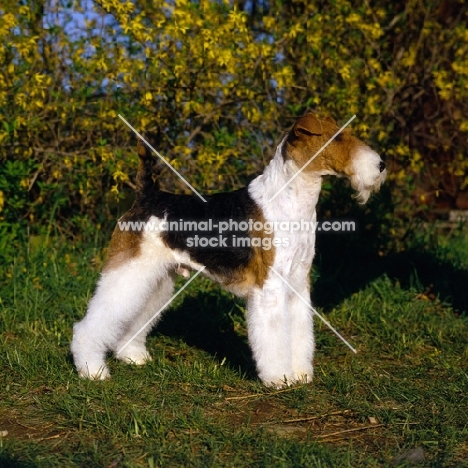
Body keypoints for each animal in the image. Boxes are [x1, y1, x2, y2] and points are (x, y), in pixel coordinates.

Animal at [71, 114, 386, 388]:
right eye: (337, 137)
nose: (381, 166)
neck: (291, 200)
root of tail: (146, 195)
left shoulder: (297, 281)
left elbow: (300, 331)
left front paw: (300, 375)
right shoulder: (270, 287)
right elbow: (274, 337)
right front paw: (279, 378)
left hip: (156, 277)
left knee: (133, 317)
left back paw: (132, 355)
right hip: (130, 271)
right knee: (92, 324)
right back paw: (92, 370)